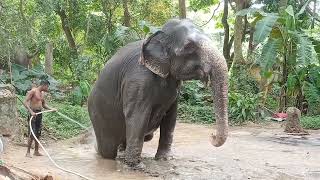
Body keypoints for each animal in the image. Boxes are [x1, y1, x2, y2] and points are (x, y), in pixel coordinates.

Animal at [87, 18, 228, 167]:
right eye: (189, 46)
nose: (212, 135)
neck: (158, 34)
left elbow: (171, 117)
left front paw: (164, 159)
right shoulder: (137, 80)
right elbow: (138, 116)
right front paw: (135, 166)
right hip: (98, 115)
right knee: (107, 149)